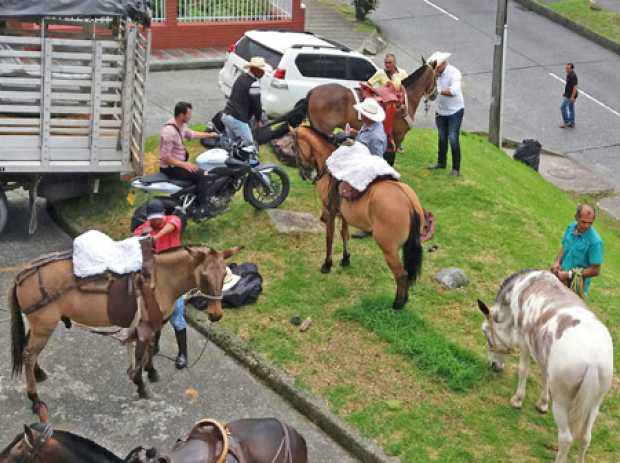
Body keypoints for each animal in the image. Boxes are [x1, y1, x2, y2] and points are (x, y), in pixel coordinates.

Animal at [10, 236, 242, 416]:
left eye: (224, 274)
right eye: (204, 276)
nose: (216, 314)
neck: (161, 279)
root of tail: (23, 274)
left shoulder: (151, 325)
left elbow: (150, 349)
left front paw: (151, 371)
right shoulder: (144, 327)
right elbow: (140, 356)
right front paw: (140, 384)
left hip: (39, 325)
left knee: (27, 349)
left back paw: (38, 373)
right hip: (44, 326)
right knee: (28, 354)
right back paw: (34, 398)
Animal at [478, 270, 612, 462]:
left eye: (485, 332)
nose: (494, 365)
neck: (524, 284)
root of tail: (593, 358)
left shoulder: (524, 340)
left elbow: (523, 370)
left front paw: (517, 400)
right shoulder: (543, 353)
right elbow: (544, 374)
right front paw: (542, 403)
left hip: (562, 402)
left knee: (566, 438)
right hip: (595, 403)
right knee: (586, 438)